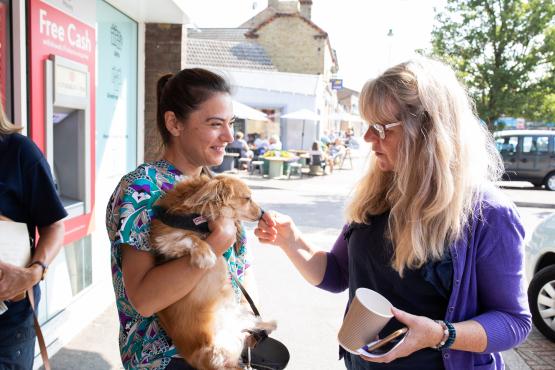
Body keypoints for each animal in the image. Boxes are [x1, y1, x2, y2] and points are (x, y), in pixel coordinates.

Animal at [150, 174, 276, 370]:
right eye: (247, 198)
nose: (263, 213)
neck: (197, 218)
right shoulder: (165, 238)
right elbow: (188, 237)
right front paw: (205, 253)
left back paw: (267, 323)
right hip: (215, 351)